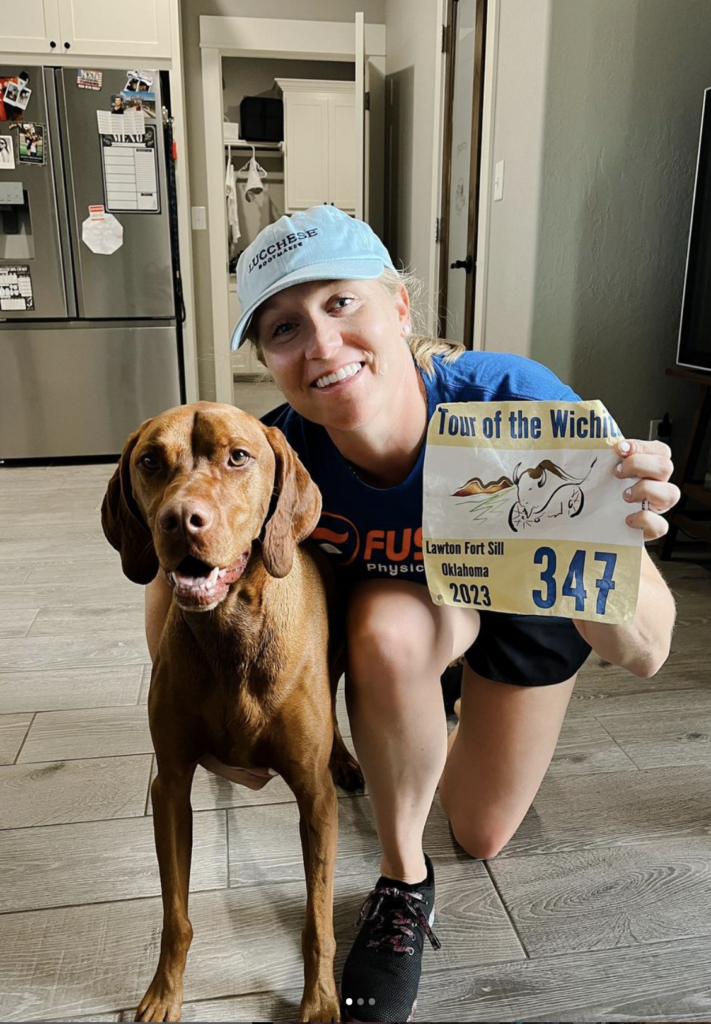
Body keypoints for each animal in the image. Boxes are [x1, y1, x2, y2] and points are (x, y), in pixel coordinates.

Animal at [101, 401, 362, 1024]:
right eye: (150, 461)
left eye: (239, 456)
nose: (179, 520)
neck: (231, 633)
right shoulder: (170, 787)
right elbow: (175, 915)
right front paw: (163, 994)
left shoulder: (314, 799)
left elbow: (318, 918)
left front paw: (319, 1000)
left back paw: (345, 758)